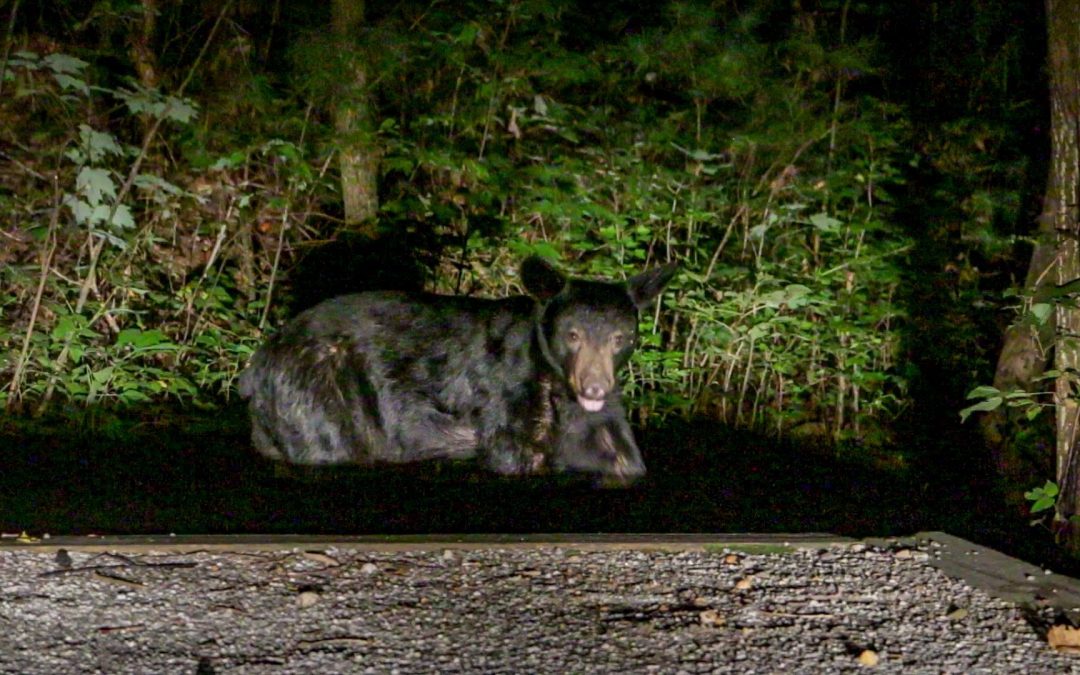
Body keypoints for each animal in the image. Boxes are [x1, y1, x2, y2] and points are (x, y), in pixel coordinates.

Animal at [237, 254, 673, 481]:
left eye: (620, 337)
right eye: (573, 335)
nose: (594, 387)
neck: (556, 383)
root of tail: (257, 364)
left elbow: (622, 457)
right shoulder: (510, 392)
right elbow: (513, 454)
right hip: (315, 388)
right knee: (327, 441)